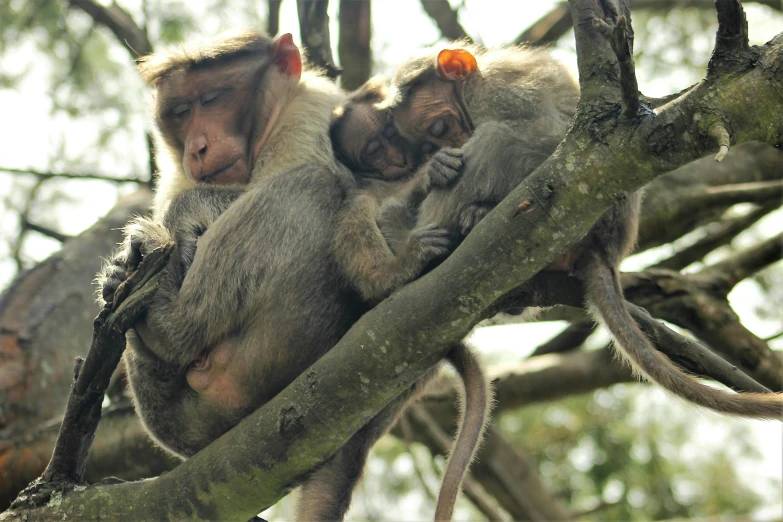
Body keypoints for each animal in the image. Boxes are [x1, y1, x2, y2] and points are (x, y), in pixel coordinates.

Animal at [99, 30, 484, 516]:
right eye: (181, 112)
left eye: (213, 98)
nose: (197, 147)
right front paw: (118, 268)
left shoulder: (308, 117)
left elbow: (348, 186)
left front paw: (183, 214)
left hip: (273, 353)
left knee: (314, 187)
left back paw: (170, 323)